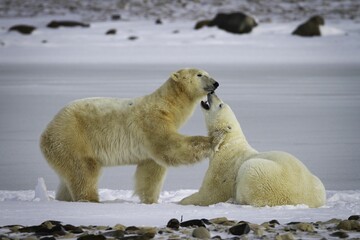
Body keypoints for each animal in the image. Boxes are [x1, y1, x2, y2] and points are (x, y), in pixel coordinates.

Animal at [39, 68, 221, 203]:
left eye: (207, 73)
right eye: (200, 74)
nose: (216, 83)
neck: (166, 106)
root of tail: (46, 131)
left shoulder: (148, 148)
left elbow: (151, 171)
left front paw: (150, 200)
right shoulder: (151, 123)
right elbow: (169, 147)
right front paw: (214, 140)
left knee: (68, 177)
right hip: (72, 137)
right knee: (84, 171)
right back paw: (90, 199)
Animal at [180, 93, 326, 207]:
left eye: (221, 104)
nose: (212, 93)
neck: (228, 143)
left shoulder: (223, 168)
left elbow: (211, 194)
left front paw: (182, 201)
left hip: (262, 175)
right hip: (317, 184)